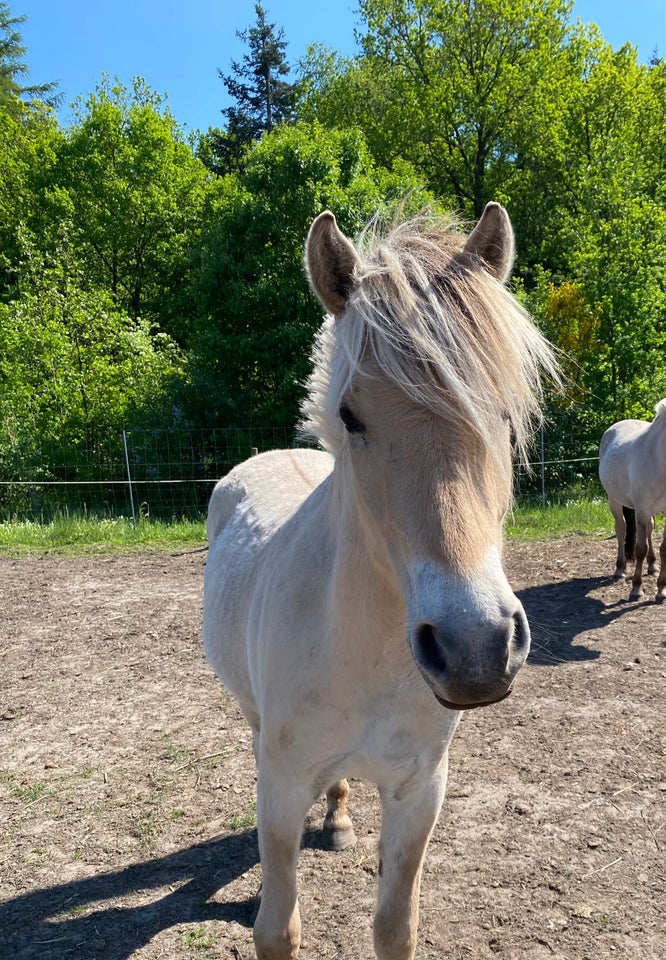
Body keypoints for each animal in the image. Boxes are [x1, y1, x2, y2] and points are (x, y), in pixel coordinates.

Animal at [201, 199, 556, 956]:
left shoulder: (420, 790)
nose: (475, 647)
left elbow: (396, 925)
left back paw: (336, 821)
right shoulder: (281, 788)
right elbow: (277, 926)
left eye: (502, 412)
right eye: (350, 415)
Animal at [596, 402, 664, 604]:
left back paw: (652, 566)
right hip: (614, 500)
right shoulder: (641, 510)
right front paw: (636, 589)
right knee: (621, 528)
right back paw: (620, 569)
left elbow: (663, 548)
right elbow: (640, 549)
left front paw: (661, 590)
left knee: (649, 529)